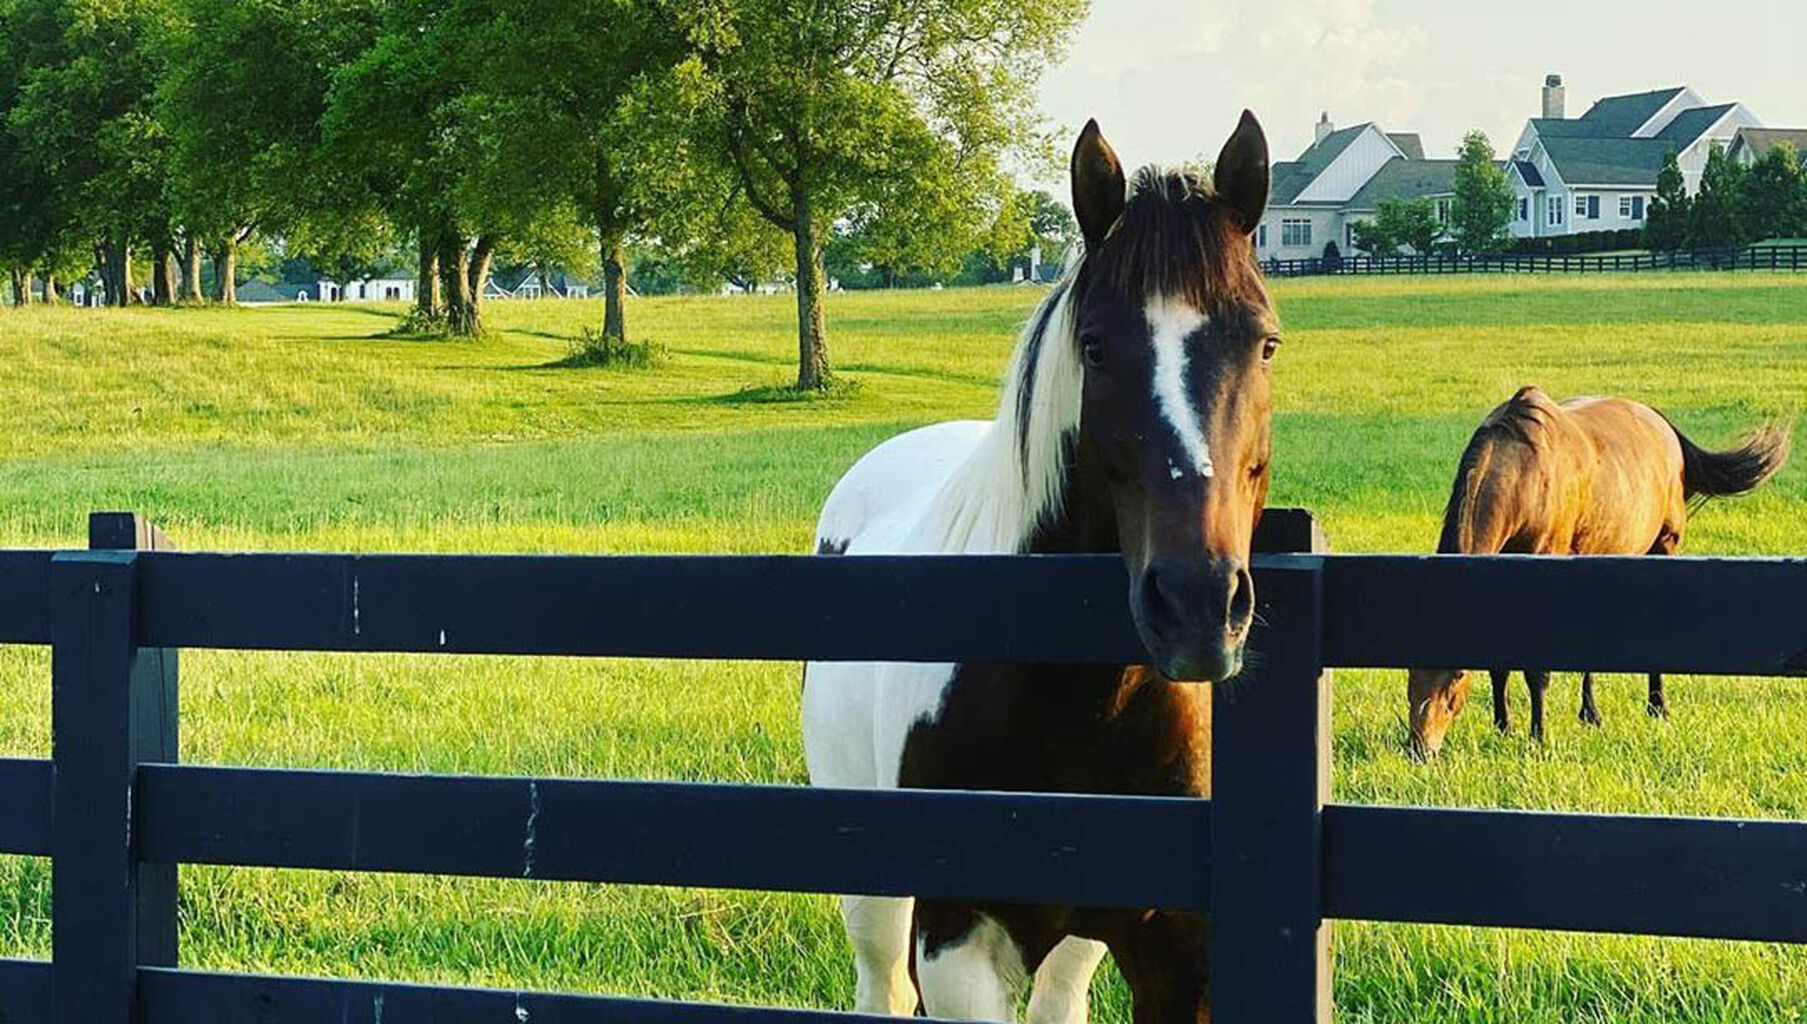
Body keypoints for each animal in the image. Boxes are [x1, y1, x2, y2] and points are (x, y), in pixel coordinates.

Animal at [801, 113, 1276, 1023]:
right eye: (1094, 347)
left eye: (1265, 343)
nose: (1197, 605)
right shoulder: (955, 939)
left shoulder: (1179, 951)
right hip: (874, 893)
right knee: (879, 984)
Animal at [1406, 386, 1791, 758]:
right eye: (1409, 668)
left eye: (1456, 676)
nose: (1420, 749)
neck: (1525, 475)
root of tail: (1661, 424)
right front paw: (1504, 727)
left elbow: (1536, 670)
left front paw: (1537, 737)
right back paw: (1590, 713)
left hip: (1664, 546)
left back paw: (1657, 706)